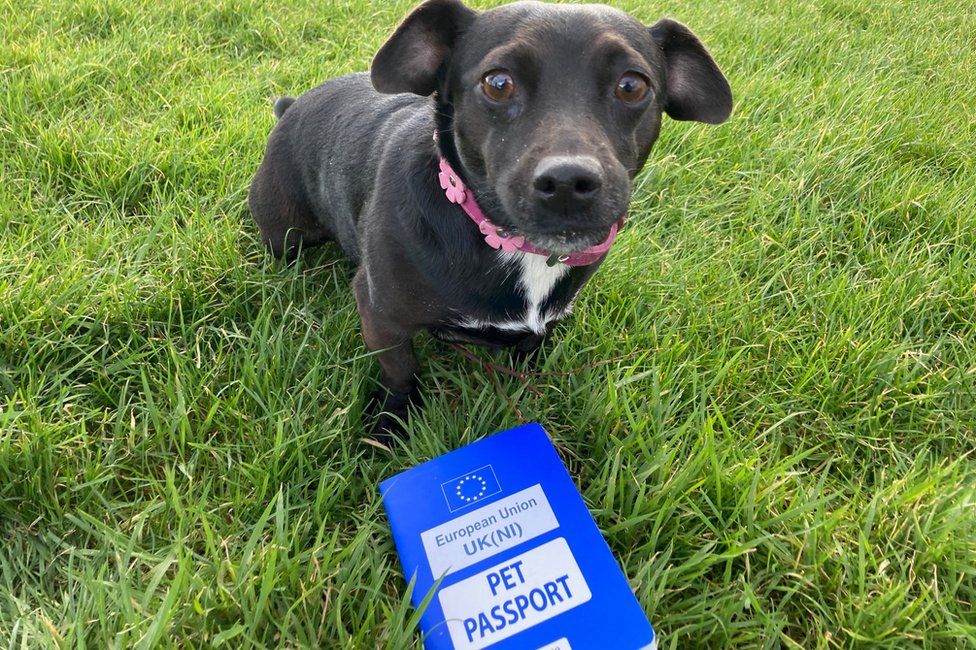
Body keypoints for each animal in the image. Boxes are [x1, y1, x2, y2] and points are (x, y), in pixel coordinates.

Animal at [252, 1, 732, 436]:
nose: (568, 181)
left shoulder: (545, 322)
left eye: (632, 85)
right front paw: (393, 425)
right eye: (498, 83)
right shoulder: (380, 317)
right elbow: (401, 371)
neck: (509, 241)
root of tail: (292, 106)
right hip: (286, 232)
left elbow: (531, 349)